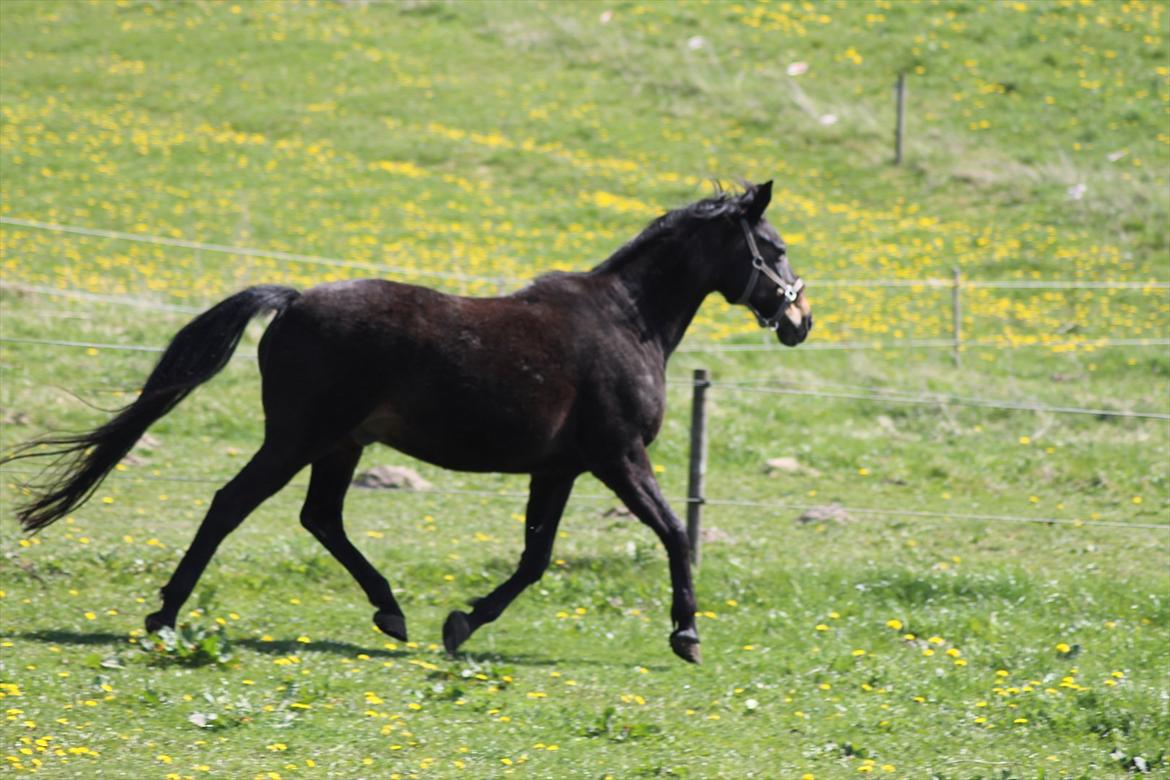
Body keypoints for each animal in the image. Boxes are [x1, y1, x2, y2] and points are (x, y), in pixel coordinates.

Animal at [6, 180, 814, 664]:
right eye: (772, 250)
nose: (800, 320)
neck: (627, 322)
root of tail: (292, 301)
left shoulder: (559, 468)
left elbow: (534, 559)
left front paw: (460, 625)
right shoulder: (618, 456)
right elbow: (674, 532)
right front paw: (686, 633)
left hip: (339, 444)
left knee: (320, 519)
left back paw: (390, 613)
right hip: (299, 438)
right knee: (231, 504)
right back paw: (166, 616)